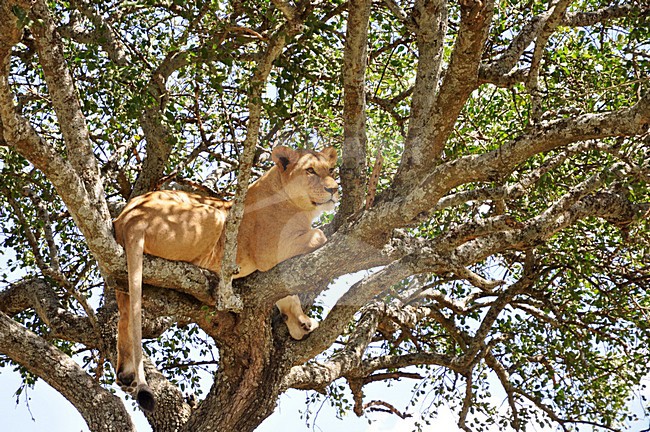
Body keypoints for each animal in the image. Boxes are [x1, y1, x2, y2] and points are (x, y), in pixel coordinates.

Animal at [112, 146, 339, 411]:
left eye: (331, 170)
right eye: (310, 170)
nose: (334, 189)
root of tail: (131, 218)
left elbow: (285, 296)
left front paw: (299, 323)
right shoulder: (269, 253)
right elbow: (320, 235)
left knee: (125, 312)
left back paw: (126, 372)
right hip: (213, 214)